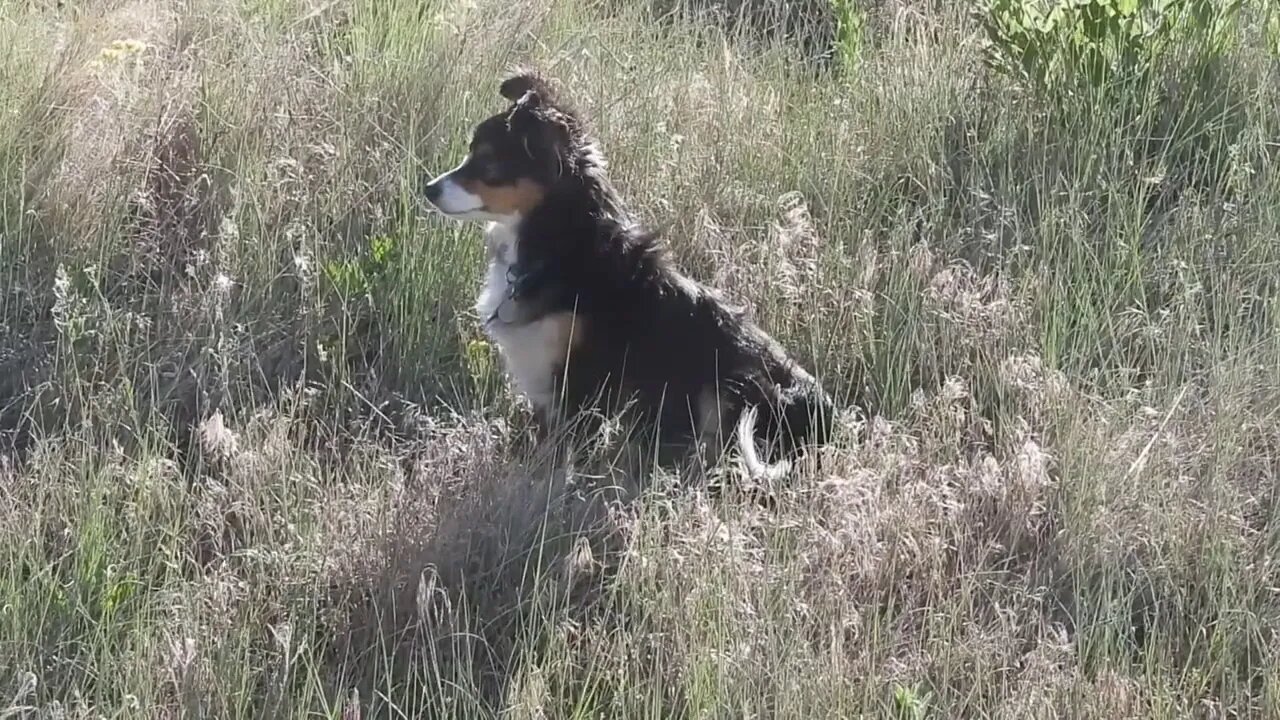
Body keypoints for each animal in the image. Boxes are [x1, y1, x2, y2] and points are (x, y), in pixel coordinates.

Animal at [424, 68, 834, 481]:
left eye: (488, 162)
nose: (428, 189)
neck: (563, 243)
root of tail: (831, 422)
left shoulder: (585, 376)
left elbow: (571, 447)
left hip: (738, 383)